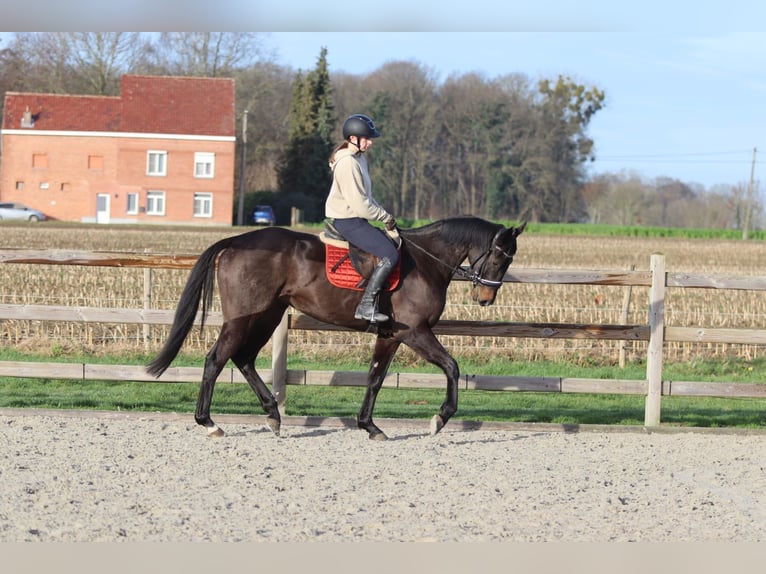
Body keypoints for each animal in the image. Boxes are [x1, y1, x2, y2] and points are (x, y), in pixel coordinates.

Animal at [147, 216, 526, 440]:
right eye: (499, 255)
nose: (486, 297)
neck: (425, 261)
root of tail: (236, 242)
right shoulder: (414, 332)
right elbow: (451, 366)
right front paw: (440, 418)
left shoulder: (390, 335)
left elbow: (375, 378)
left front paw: (369, 426)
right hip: (243, 318)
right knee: (216, 359)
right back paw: (209, 423)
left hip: (268, 316)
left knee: (244, 359)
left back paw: (273, 415)